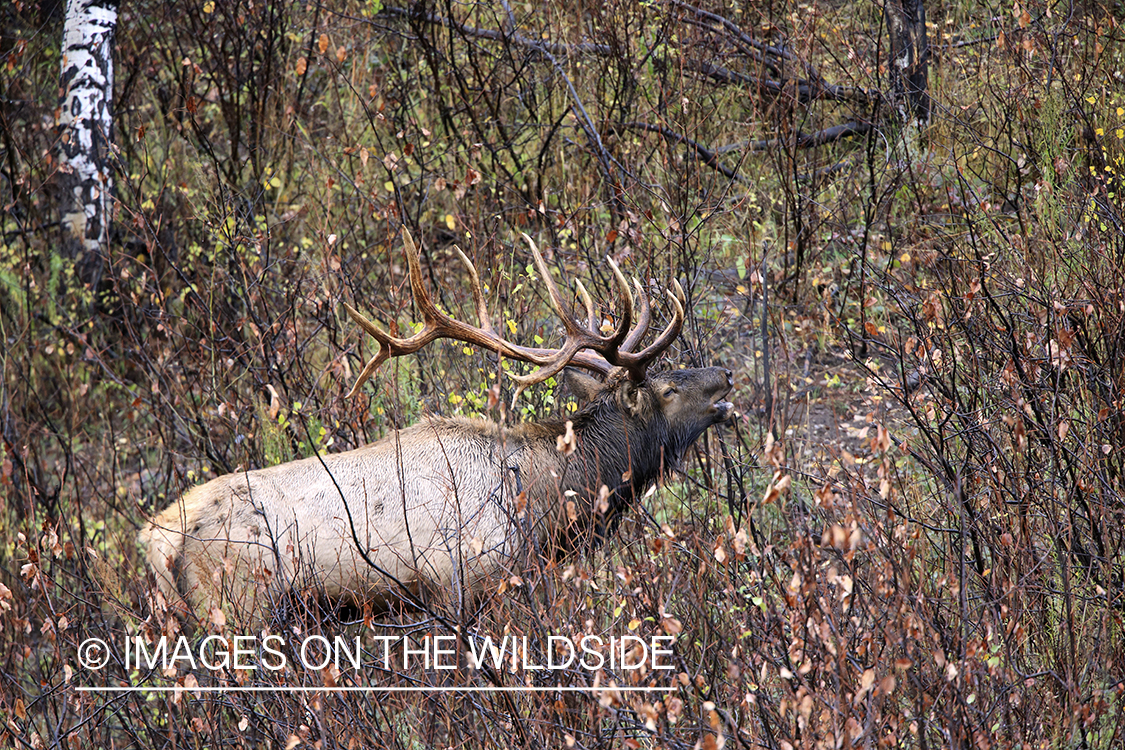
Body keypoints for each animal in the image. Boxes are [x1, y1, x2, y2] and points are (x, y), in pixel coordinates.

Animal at [138, 230, 734, 618]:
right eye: (667, 389)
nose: (725, 376)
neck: (544, 508)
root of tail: (156, 540)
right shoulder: (460, 586)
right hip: (238, 604)